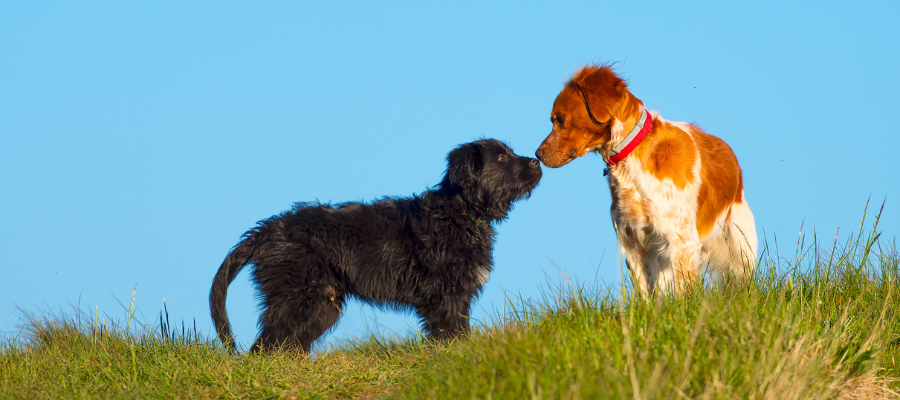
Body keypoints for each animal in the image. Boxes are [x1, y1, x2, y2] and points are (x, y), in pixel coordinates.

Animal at [209, 139, 540, 352]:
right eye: (501, 159)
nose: (537, 161)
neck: (460, 211)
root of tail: (267, 229)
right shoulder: (445, 294)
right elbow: (451, 331)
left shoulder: (457, 294)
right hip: (297, 296)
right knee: (266, 344)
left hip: (322, 303)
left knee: (286, 343)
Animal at [536, 65, 756, 296]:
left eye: (560, 118)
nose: (537, 154)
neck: (630, 164)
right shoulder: (633, 242)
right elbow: (645, 293)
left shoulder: (682, 240)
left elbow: (683, 293)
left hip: (741, 245)